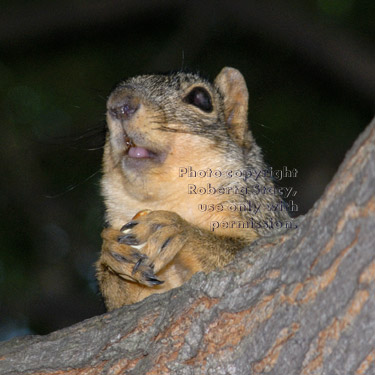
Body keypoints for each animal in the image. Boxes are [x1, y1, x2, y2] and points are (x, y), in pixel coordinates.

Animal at [96, 67, 290, 312]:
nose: (120, 104)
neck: (167, 200)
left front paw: (175, 229)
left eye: (201, 98)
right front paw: (112, 253)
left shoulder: (261, 219)